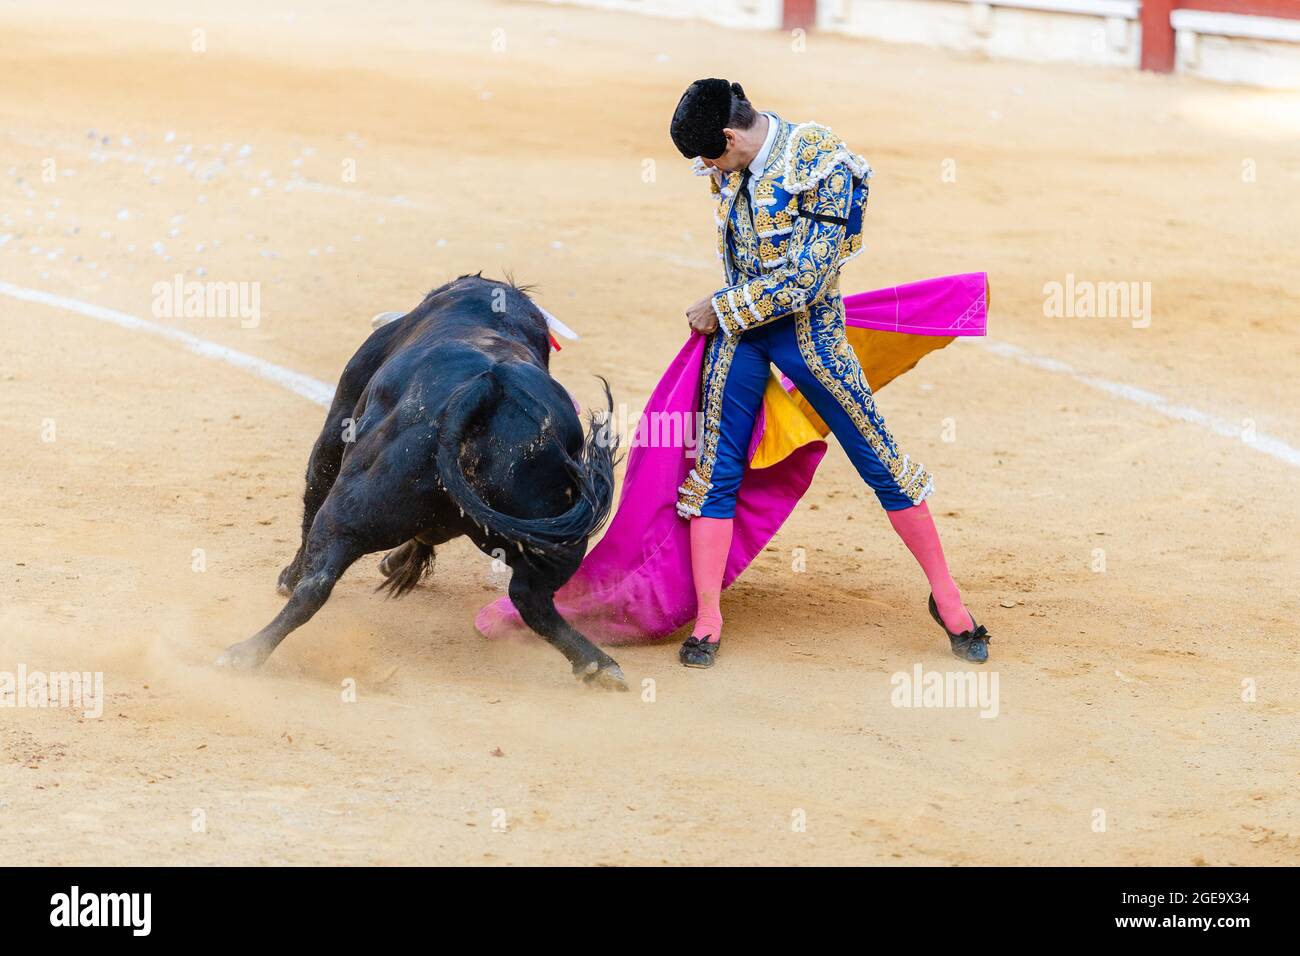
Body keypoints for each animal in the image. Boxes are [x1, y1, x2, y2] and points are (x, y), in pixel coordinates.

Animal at [217, 273, 629, 691]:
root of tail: (483, 391)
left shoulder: (340, 417)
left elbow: (318, 482)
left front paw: (291, 575)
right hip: (558, 533)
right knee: (531, 597)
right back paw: (597, 664)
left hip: (355, 503)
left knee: (316, 580)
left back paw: (245, 651)